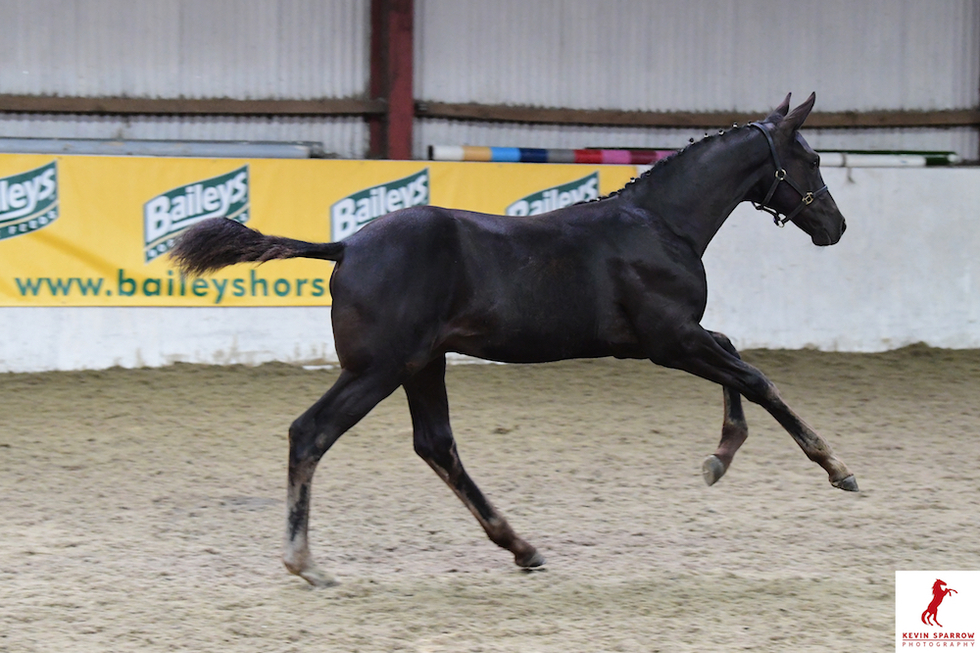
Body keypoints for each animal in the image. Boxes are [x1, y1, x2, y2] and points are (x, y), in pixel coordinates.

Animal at [171, 93, 857, 587]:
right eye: (814, 160)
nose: (837, 226)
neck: (660, 225)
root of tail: (347, 245)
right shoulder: (669, 340)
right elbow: (755, 376)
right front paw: (835, 467)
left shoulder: (673, 338)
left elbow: (735, 352)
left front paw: (720, 455)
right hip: (378, 369)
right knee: (311, 433)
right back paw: (305, 562)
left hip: (422, 364)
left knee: (436, 445)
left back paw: (522, 548)